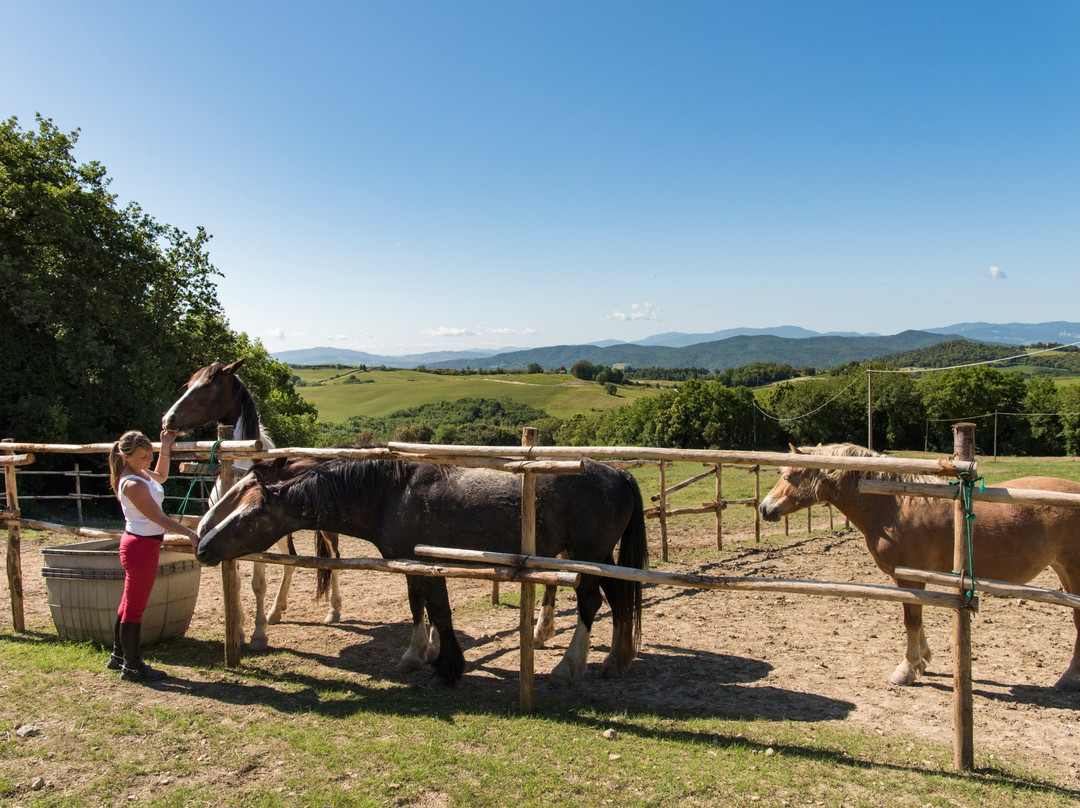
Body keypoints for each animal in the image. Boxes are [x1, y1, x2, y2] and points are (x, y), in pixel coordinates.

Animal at [160, 360, 341, 648]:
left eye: (208, 385)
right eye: (188, 384)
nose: (169, 419)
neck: (239, 465)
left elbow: (258, 583)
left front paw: (258, 634)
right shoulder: (226, 537)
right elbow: (234, 582)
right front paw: (240, 629)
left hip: (326, 531)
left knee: (333, 560)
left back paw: (333, 611)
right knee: (290, 559)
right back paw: (276, 611)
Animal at [196, 458, 648, 687]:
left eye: (249, 514)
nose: (202, 545)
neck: (391, 492)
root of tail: (619, 473)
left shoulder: (427, 564)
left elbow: (440, 611)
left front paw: (448, 666)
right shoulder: (409, 564)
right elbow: (420, 608)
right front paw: (417, 654)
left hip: (588, 555)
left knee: (591, 602)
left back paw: (569, 666)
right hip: (597, 556)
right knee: (618, 599)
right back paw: (616, 660)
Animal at [760, 445, 1080, 691]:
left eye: (790, 475)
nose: (764, 508)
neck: (895, 503)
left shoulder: (911, 577)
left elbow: (911, 621)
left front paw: (906, 669)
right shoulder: (908, 578)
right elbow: (917, 618)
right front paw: (923, 660)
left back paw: (1069, 678)